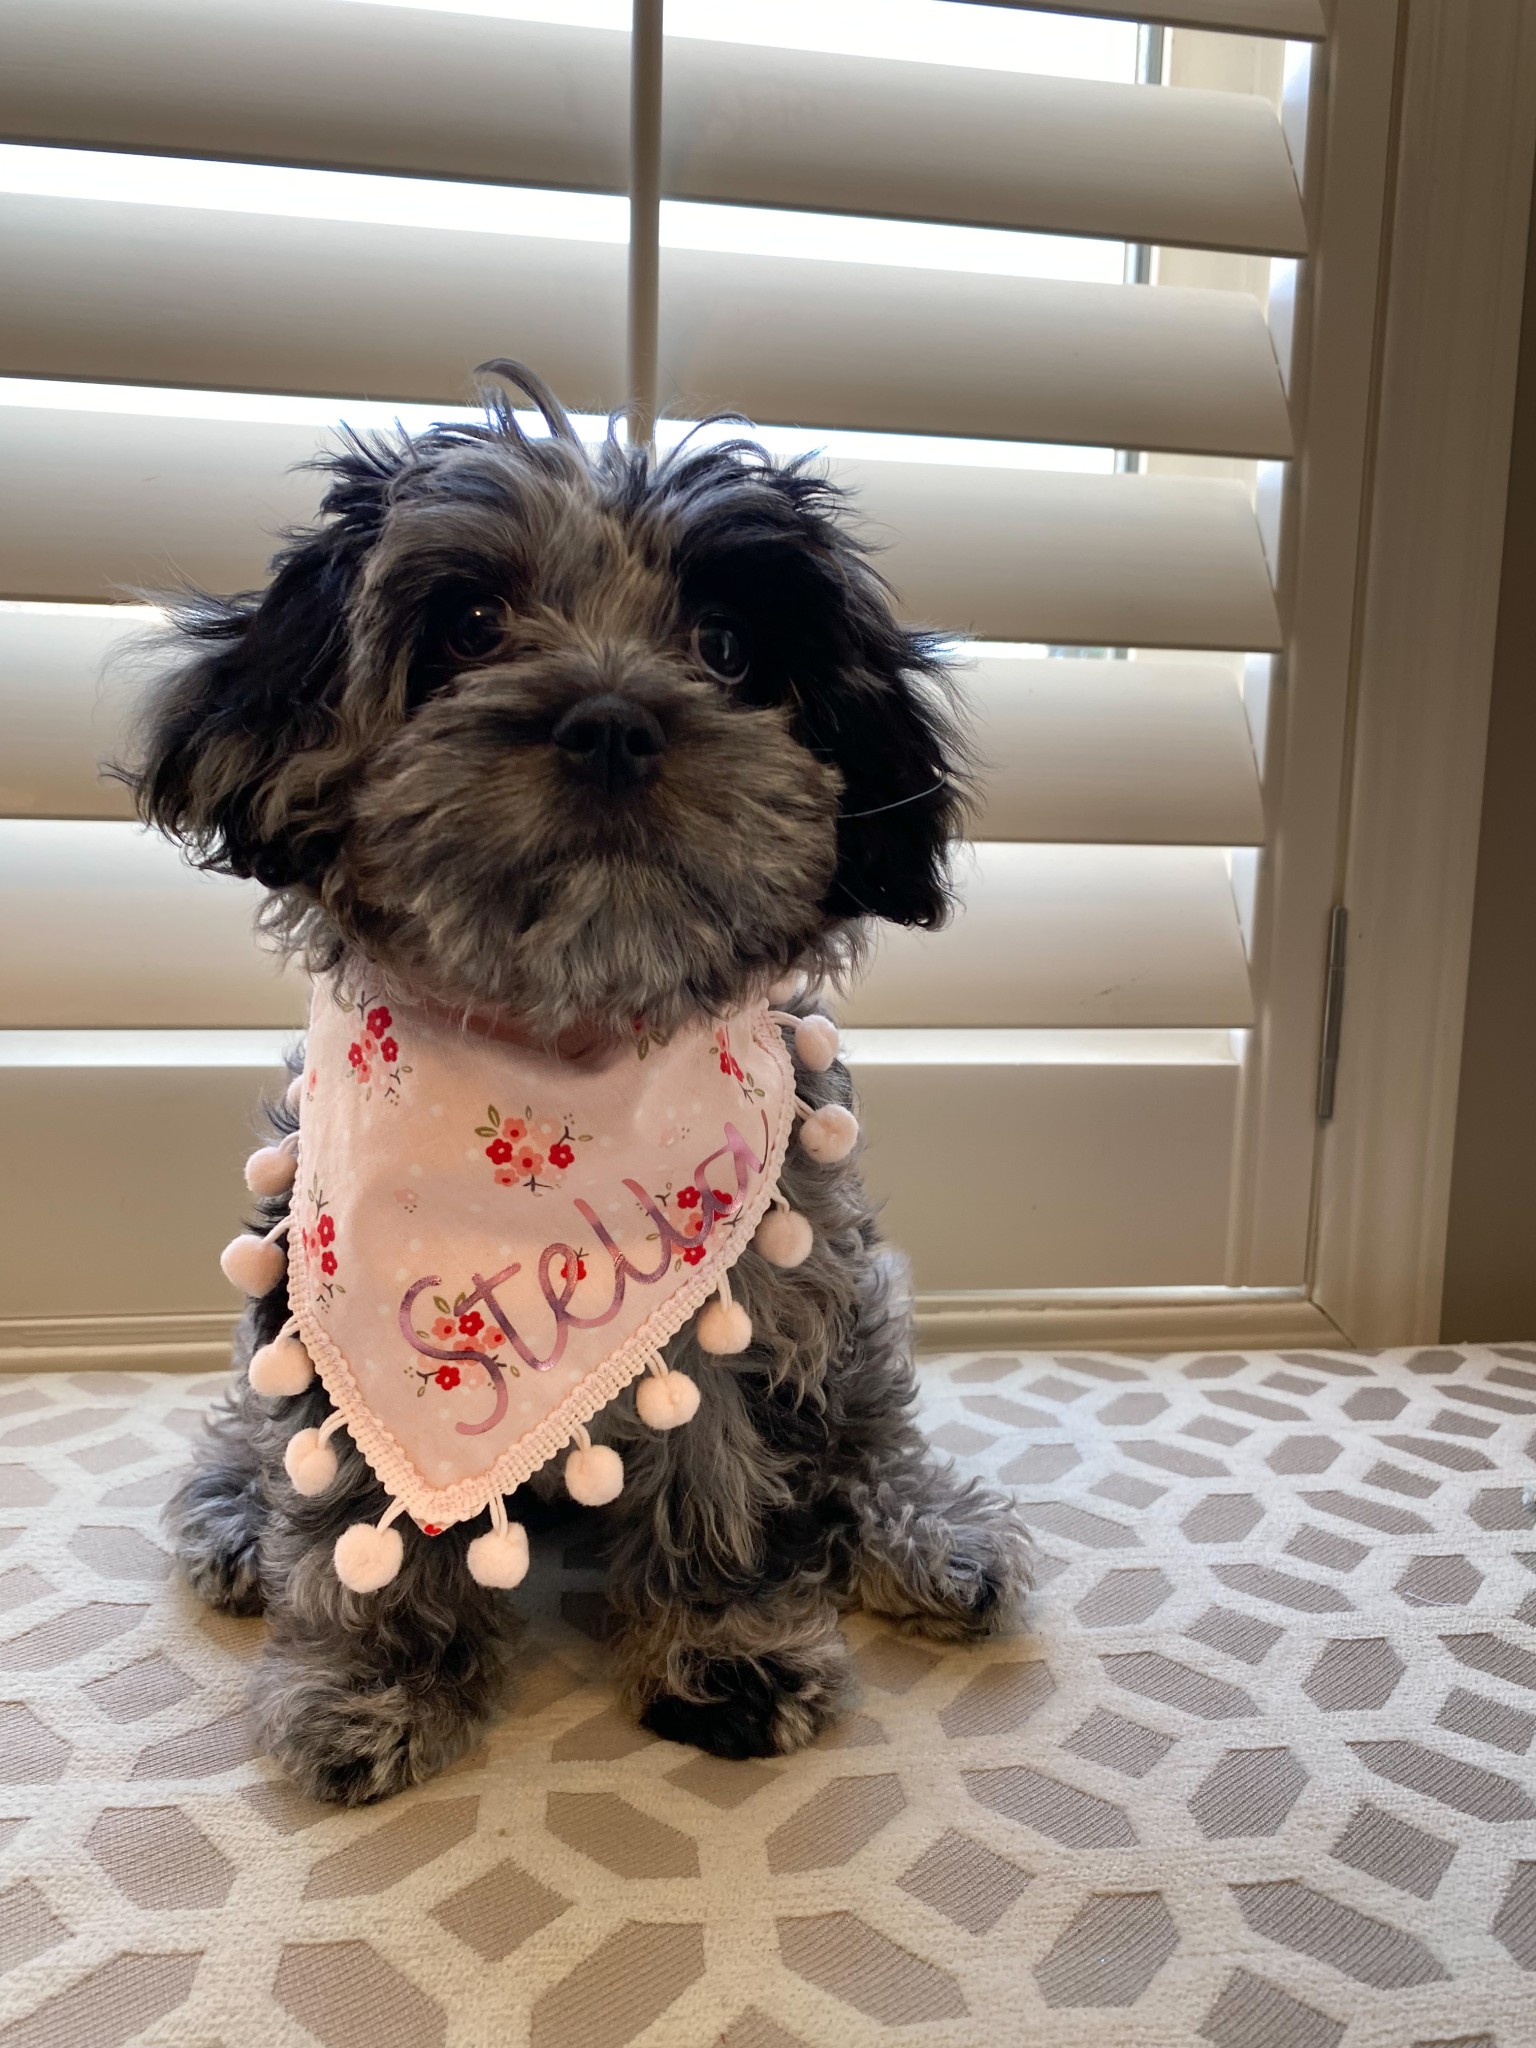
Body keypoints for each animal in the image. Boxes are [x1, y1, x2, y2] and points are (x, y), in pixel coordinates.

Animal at [126, 360, 1028, 1802]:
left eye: (727, 644)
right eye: (469, 622)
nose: (610, 723)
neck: (557, 1057)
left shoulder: (743, 1293)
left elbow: (723, 1474)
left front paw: (725, 1648)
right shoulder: (326, 1294)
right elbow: (351, 1499)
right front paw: (375, 1681)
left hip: (848, 1287)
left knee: (861, 1430)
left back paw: (921, 1530)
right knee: (264, 1433)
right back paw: (229, 1511)